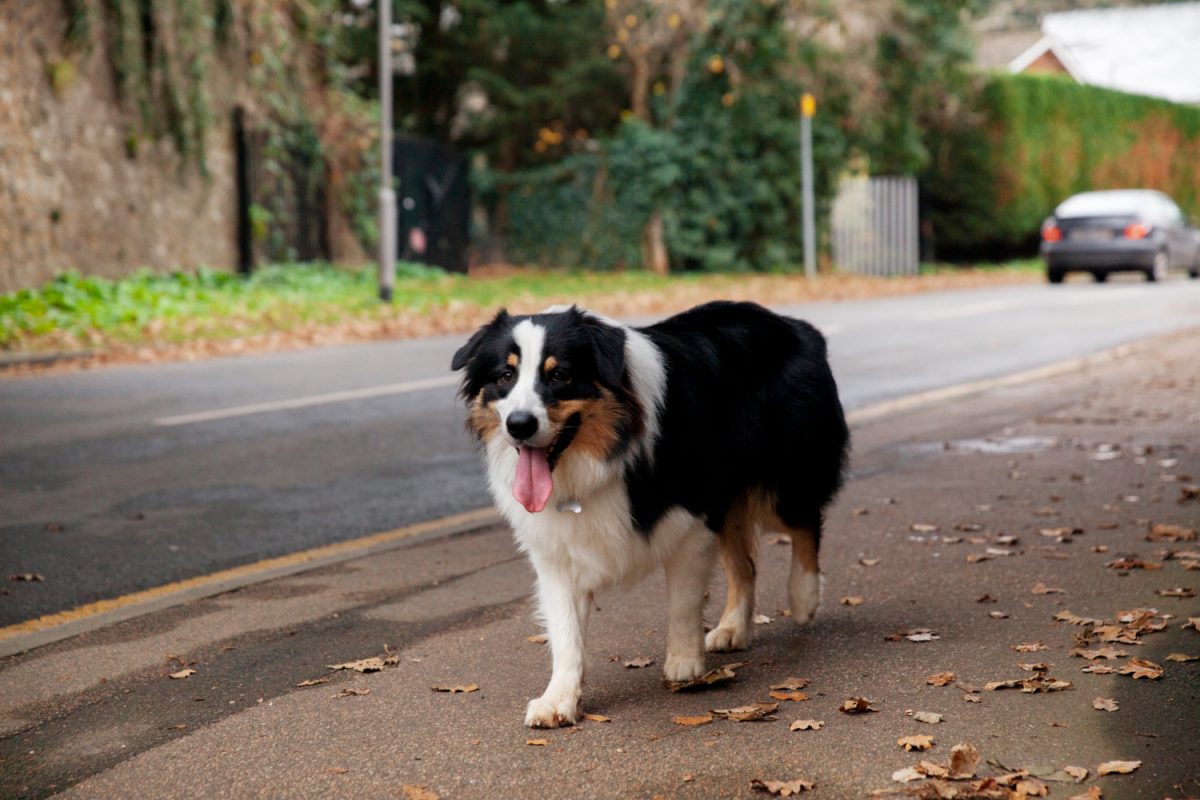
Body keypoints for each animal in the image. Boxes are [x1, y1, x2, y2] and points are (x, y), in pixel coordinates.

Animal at [451, 298, 854, 724]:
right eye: (505, 375)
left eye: (560, 375)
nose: (519, 425)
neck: (602, 456)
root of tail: (791, 323)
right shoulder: (556, 548)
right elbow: (565, 632)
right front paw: (558, 698)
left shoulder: (691, 520)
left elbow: (683, 602)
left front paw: (684, 663)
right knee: (745, 564)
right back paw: (733, 628)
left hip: (784, 475)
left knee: (805, 523)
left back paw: (804, 597)